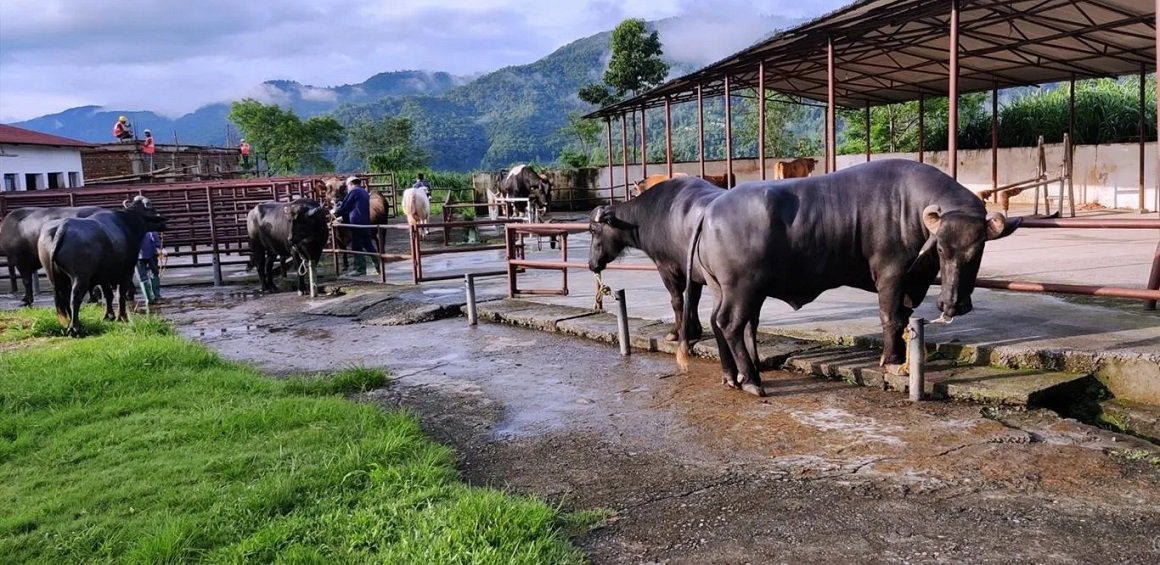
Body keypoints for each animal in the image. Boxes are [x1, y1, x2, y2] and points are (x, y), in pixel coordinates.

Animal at [37, 199, 169, 336]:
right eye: (151, 209)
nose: (163, 222)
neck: (127, 222)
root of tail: (62, 227)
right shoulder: (127, 272)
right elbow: (120, 295)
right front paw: (122, 317)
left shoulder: (103, 277)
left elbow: (108, 295)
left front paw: (109, 316)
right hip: (80, 277)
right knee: (75, 298)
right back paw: (75, 328)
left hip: (56, 277)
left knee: (64, 297)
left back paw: (71, 324)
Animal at [589, 176, 723, 343]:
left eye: (593, 230)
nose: (591, 264)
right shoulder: (693, 274)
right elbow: (692, 299)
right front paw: (694, 330)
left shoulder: (665, 268)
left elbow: (677, 300)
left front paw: (677, 332)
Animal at [677, 158, 1020, 399]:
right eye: (940, 248)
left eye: (977, 250)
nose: (951, 305)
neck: (909, 207)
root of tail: (710, 210)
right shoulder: (891, 275)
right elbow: (891, 317)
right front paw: (893, 362)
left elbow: (904, 317)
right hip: (743, 288)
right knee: (730, 324)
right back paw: (750, 381)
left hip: (722, 288)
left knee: (716, 321)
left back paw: (729, 376)